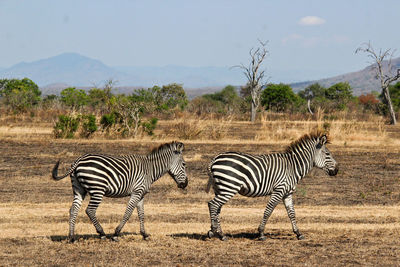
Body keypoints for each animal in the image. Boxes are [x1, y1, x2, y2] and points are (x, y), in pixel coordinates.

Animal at [51, 142, 188, 243]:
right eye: (184, 164)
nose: (185, 184)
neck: (150, 169)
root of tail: (78, 160)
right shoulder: (136, 192)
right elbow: (128, 213)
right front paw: (116, 234)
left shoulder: (141, 194)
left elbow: (141, 214)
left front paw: (144, 234)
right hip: (97, 189)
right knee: (90, 210)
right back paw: (102, 233)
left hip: (79, 189)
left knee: (73, 209)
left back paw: (71, 237)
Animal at [205, 132, 340, 243]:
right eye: (328, 154)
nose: (337, 170)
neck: (293, 167)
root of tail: (214, 159)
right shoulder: (279, 190)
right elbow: (268, 211)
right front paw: (261, 233)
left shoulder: (287, 193)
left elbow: (292, 213)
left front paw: (298, 233)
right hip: (229, 187)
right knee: (213, 204)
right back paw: (214, 231)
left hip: (221, 188)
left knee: (217, 208)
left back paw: (220, 234)